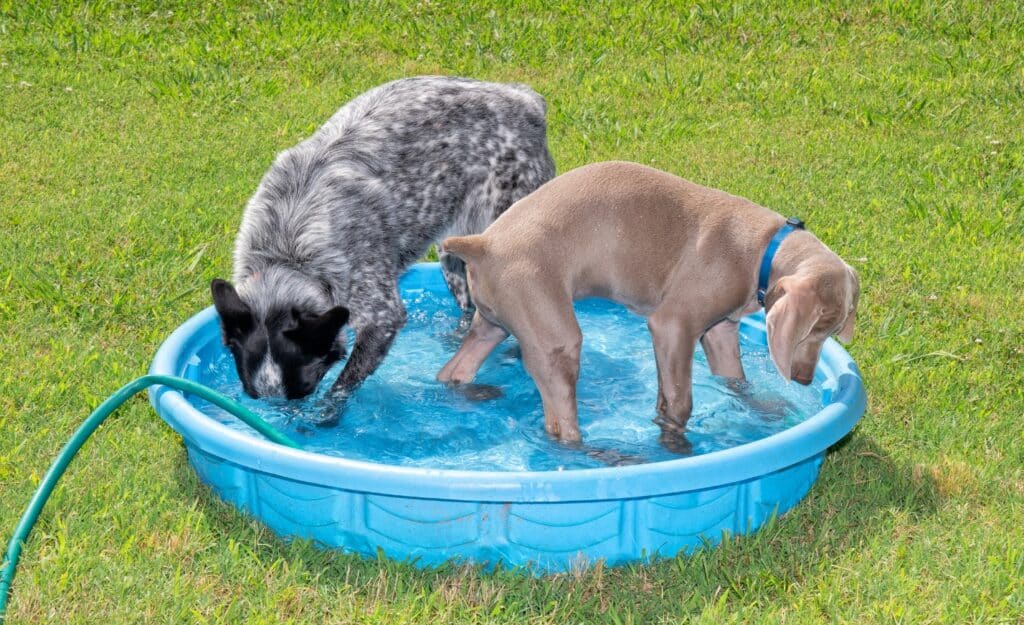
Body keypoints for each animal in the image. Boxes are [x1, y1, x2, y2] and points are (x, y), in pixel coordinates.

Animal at [208, 75, 557, 411]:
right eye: (253, 395)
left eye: (306, 388)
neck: (288, 254)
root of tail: (526, 100)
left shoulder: (381, 319)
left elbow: (340, 390)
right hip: (453, 256)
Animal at [436, 160, 860, 442]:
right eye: (814, 329)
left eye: (831, 332)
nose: (804, 379)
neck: (762, 248)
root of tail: (483, 243)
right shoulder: (673, 325)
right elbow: (681, 403)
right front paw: (676, 444)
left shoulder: (720, 332)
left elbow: (735, 381)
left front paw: (765, 409)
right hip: (555, 341)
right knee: (561, 426)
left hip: (494, 323)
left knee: (455, 370)